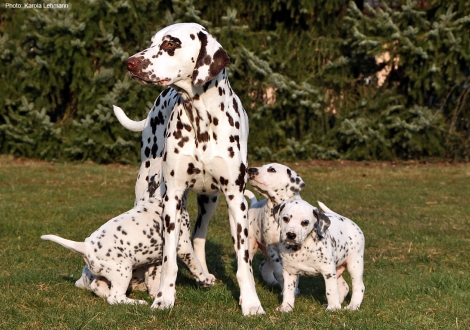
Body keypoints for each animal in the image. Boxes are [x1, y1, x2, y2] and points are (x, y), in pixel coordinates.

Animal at [42, 159, 215, 306]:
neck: (158, 198)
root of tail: (85, 246)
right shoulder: (182, 244)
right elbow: (195, 262)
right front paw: (205, 279)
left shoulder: (157, 259)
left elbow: (156, 274)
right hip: (123, 271)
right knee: (114, 298)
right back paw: (136, 302)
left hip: (107, 274)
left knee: (99, 287)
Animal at [117, 23, 264, 314]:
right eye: (152, 42)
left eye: (170, 44)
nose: (130, 63)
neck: (201, 119)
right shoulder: (172, 198)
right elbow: (169, 260)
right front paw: (164, 297)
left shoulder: (235, 199)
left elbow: (243, 262)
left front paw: (251, 302)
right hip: (148, 190)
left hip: (211, 200)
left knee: (199, 236)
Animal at [244, 163, 306, 292]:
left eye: (272, 169)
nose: (250, 169)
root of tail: (254, 204)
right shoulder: (272, 248)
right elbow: (279, 271)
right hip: (252, 245)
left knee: (264, 266)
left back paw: (271, 282)